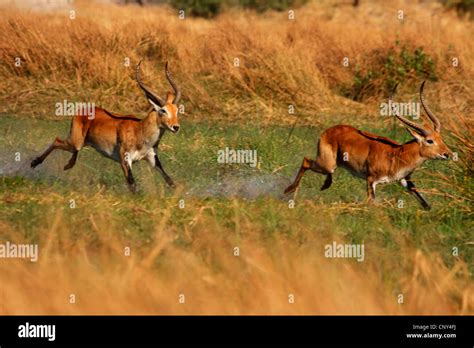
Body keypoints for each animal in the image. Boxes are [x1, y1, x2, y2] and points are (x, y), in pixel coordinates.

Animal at [30, 61, 181, 192]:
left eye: (177, 110)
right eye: (163, 110)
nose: (176, 127)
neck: (140, 131)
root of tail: (83, 110)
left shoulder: (152, 158)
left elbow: (170, 181)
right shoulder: (125, 159)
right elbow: (132, 184)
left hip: (81, 143)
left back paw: (67, 165)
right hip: (75, 142)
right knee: (57, 140)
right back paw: (34, 163)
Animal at [284, 81, 454, 209]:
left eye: (441, 138)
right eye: (429, 140)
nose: (448, 154)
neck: (397, 154)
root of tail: (329, 130)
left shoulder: (405, 180)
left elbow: (425, 204)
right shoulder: (371, 180)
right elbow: (370, 202)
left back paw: (324, 185)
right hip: (327, 164)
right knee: (306, 160)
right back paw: (289, 192)